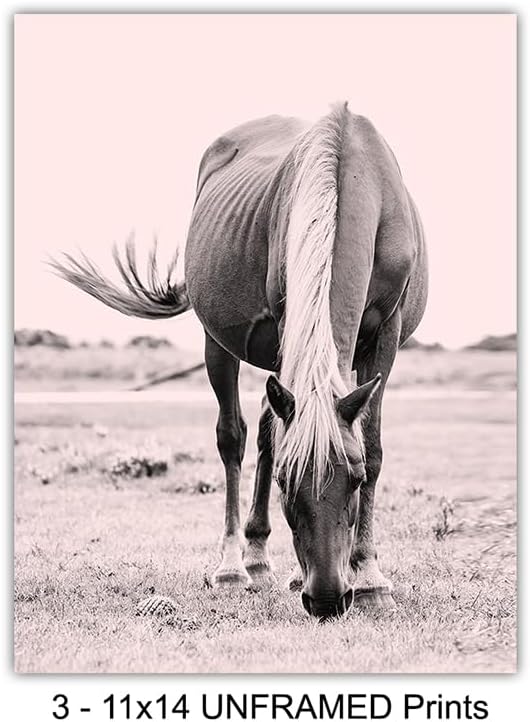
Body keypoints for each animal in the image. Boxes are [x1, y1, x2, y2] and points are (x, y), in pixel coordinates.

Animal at [52, 102, 428, 620]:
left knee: (270, 426)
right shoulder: (287, 321)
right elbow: (263, 442)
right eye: (288, 482)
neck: (350, 175)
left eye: (353, 481)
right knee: (236, 437)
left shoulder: (386, 338)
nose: (327, 598)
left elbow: (371, 447)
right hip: (219, 343)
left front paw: (370, 578)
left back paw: (270, 563)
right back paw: (238, 564)